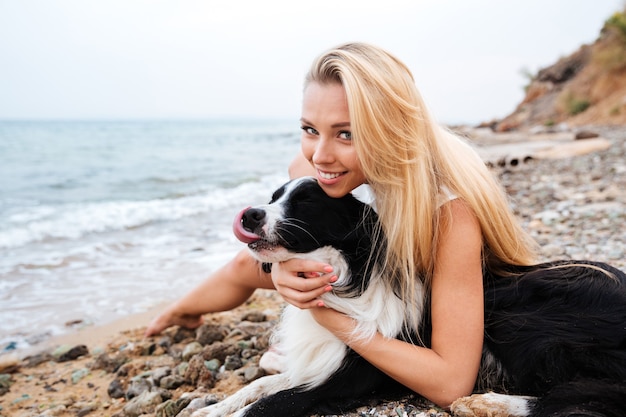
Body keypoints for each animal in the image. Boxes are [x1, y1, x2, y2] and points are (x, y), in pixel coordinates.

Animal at [190, 176, 624, 416]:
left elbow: (270, 403)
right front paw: (211, 410)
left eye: (306, 202)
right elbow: (259, 386)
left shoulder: (353, 377)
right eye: (272, 198)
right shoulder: (319, 362)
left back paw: (487, 403)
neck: (348, 279)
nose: (249, 215)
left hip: (513, 313)